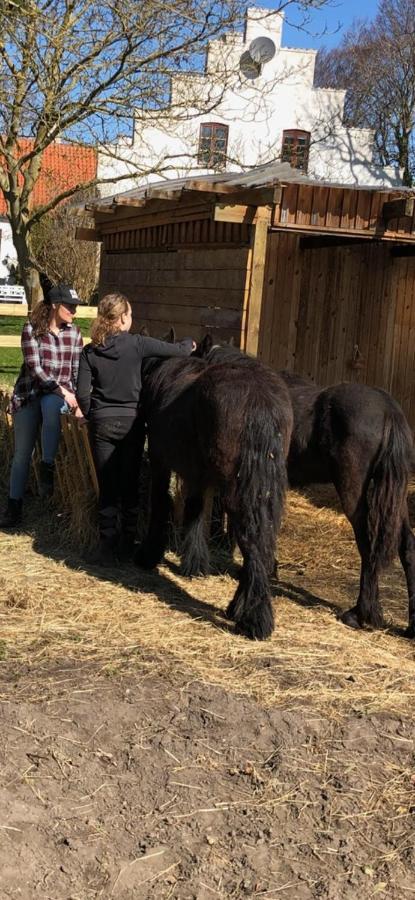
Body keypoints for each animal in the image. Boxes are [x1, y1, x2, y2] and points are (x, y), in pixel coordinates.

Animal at [136, 348, 292, 636]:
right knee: (262, 541)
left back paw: (254, 618)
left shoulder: (160, 461)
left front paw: (149, 554)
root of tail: (259, 401)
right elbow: (195, 510)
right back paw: (240, 608)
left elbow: (161, 503)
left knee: (251, 540)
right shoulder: (199, 476)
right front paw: (194, 565)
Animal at [197, 338, 415, 640]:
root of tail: (388, 409)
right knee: (407, 546)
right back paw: (410, 626)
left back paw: (360, 615)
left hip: (354, 492)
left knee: (367, 542)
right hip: (395, 497)